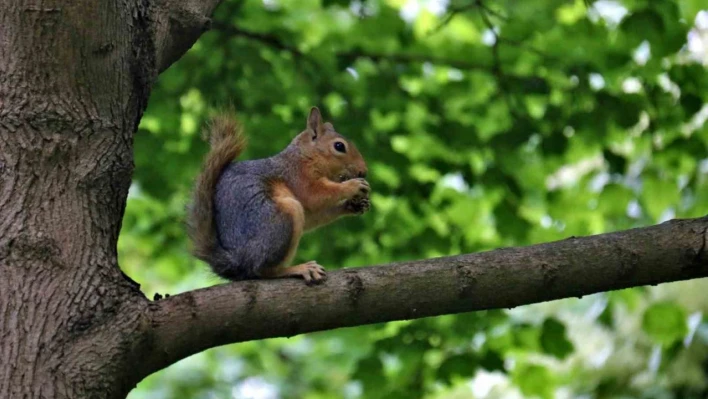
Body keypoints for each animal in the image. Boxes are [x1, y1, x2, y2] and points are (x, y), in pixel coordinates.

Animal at [188, 108, 370, 286]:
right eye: (339, 146)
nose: (363, 171)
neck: (305, 156)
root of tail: (238, 262)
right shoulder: (298, 177)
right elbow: (316, 195)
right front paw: (353, 186)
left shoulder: (307, 207)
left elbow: (314, 216)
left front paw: (353, 205)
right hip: (281, 219)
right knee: (262, 270)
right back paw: (299, 268)